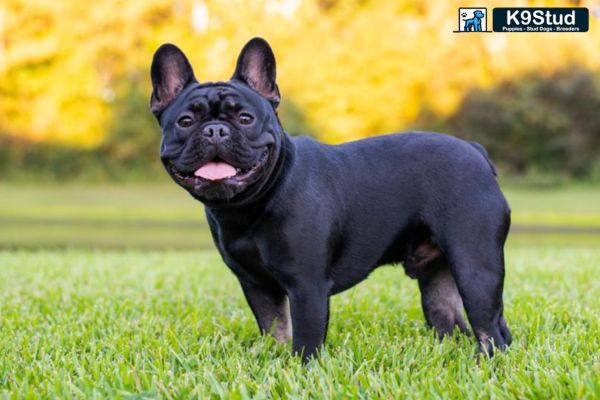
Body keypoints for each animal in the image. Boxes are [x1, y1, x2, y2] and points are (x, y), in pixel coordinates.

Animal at [150, 38, 510, 362]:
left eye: (245, 119)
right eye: (185, 122)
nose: (215, 130)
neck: (250, 204)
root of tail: (476, 152)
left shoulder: (307, 286)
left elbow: (306, 339)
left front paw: (301, 370)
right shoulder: (256, 285)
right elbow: (275, 328)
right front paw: (273, 357)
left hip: (475, 267)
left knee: (491, 328)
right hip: (437, 278)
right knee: (452, 320)